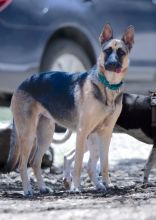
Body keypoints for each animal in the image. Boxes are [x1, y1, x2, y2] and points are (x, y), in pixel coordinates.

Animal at [9, 24, 134, 196]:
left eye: (121, 52)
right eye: (107, 51)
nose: (112, 64)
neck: (108, 85)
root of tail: (24, 82)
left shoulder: (105, 133)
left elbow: (105, 163)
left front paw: (107, 184)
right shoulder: (82, 132)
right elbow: (79, 163)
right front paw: (76, 187)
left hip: (46, 134)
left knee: (34, 162)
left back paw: (42, 187)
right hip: (28, 134)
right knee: (22, 164)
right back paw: (28, 190)